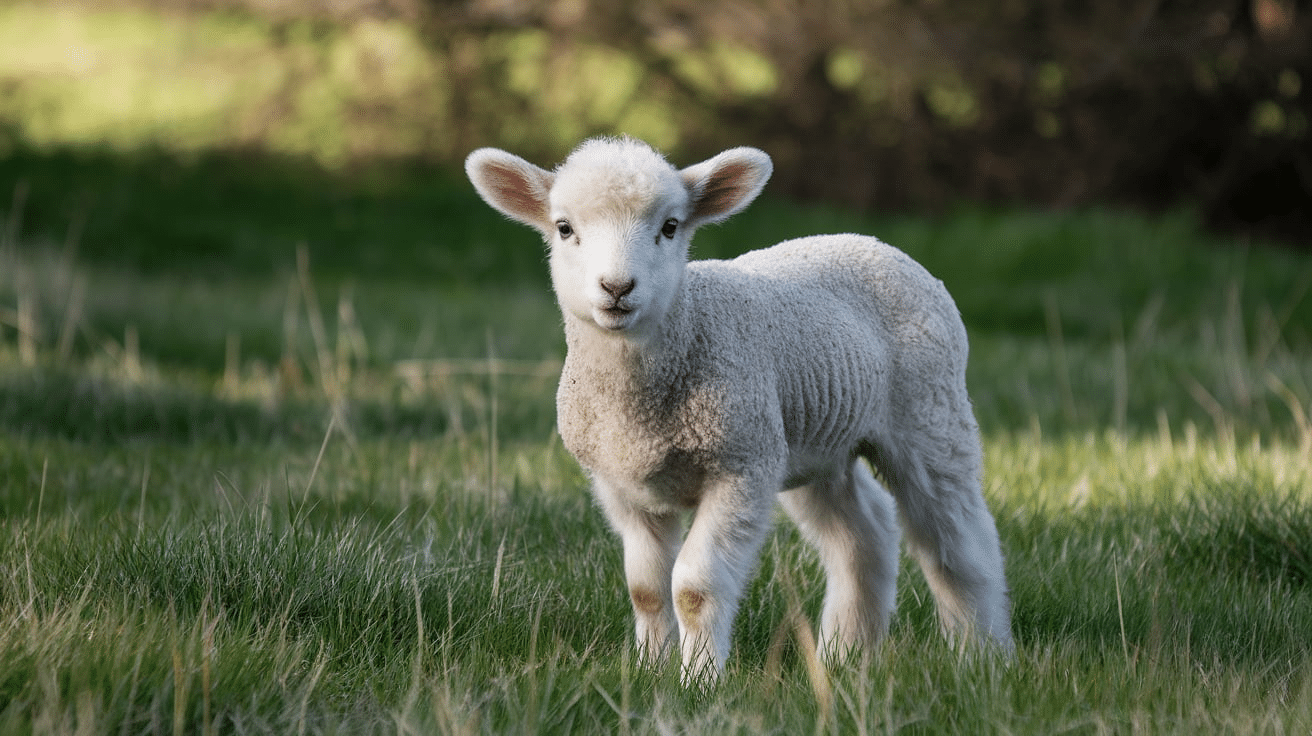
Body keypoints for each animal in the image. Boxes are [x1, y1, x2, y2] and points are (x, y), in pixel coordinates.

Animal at [465, 137, 1014, 682]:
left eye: (670, 227)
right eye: (564, 228)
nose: (617, 288)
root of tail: (873, 242)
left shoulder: (740, 469)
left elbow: (694, 587)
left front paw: (700, 680)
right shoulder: (622, 486)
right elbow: (645, 590)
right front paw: (648, 671)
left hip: (929, 411)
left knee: (958, 537)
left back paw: (982, 653)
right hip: (812, 445)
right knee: (865, 534)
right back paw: (845, 654)